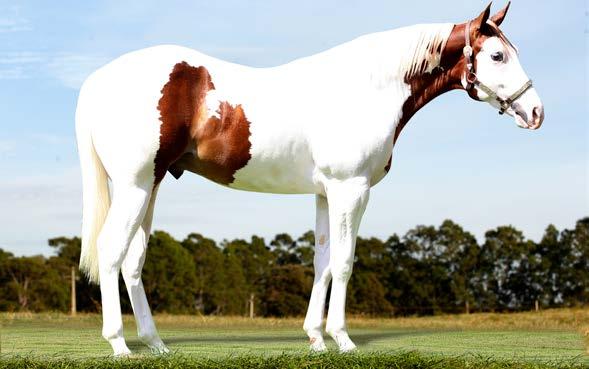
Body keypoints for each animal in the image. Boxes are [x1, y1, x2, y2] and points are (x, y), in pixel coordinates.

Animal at [74, 2, 544, 354]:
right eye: (498, 56)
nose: (536, 112)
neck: (368, 88)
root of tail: (97, 80)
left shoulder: (325, 193)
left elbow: (323, 262)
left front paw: (316, 338)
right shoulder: (351, 190)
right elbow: (345, 261)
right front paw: (343, 339)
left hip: (150, 186)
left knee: (132, 260)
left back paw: (155, 344)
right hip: (135, 186)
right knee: (111, 250)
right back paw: (119, 344)